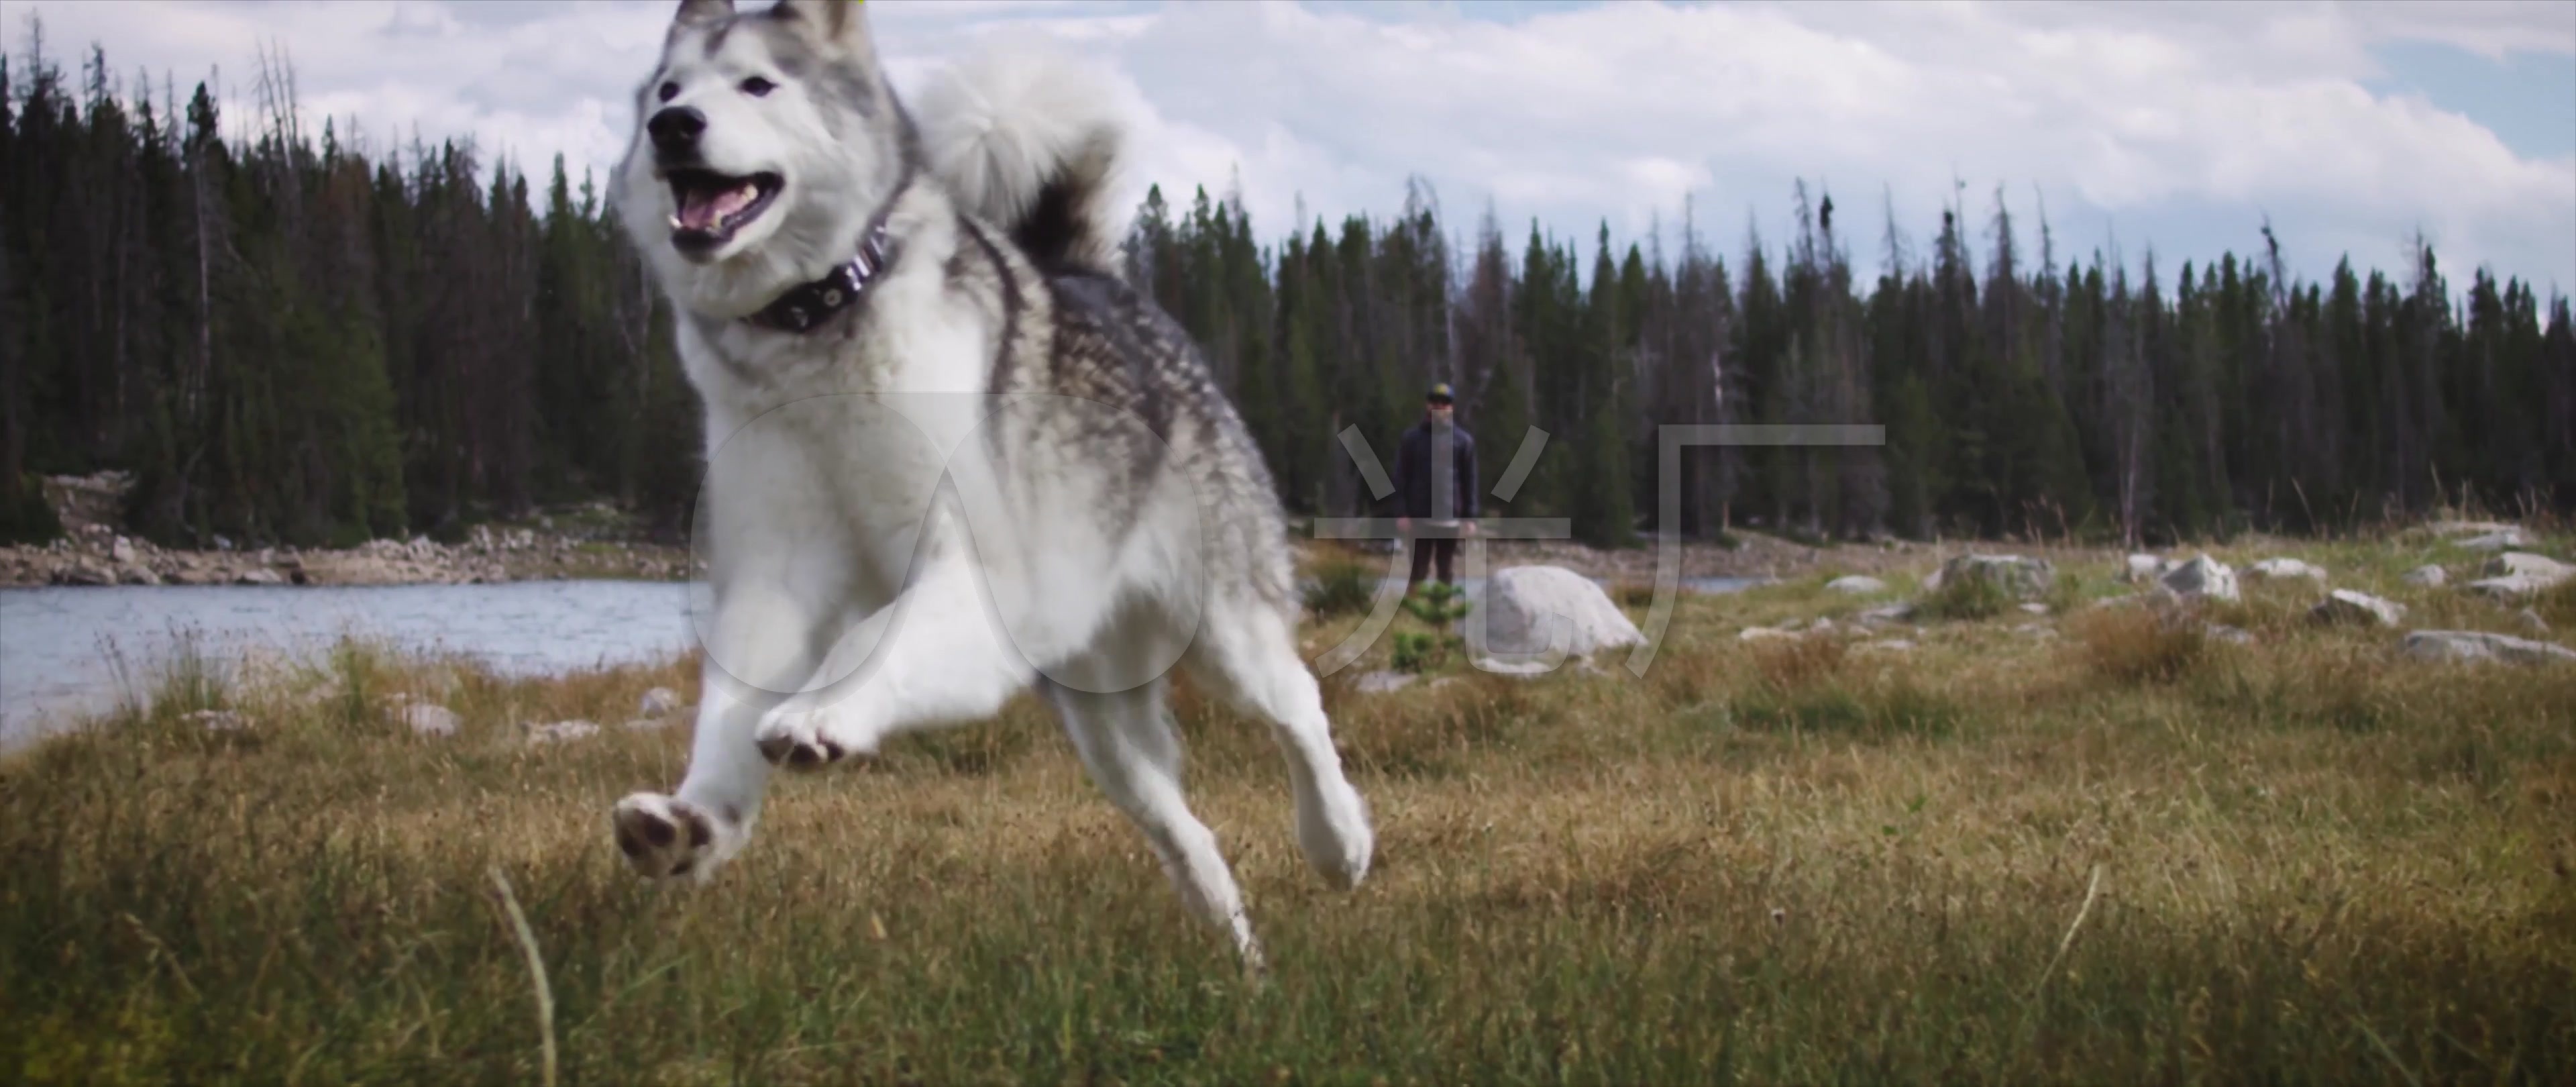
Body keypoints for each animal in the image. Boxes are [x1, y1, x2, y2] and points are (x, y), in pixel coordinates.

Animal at [602, 0, 1381, 968]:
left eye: (757, 84)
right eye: (668, 91)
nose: (674, 128)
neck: (816, 338)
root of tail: (1094, 276)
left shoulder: (976, 570)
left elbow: (868, 641)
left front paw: (824, 715)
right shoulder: (770, 578)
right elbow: (724, 711)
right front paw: (690, 824)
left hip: (1224, 633)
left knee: (1298, 710)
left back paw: (1339, 843)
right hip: (1098, 723)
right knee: (1182, 828)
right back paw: (1236, 950)